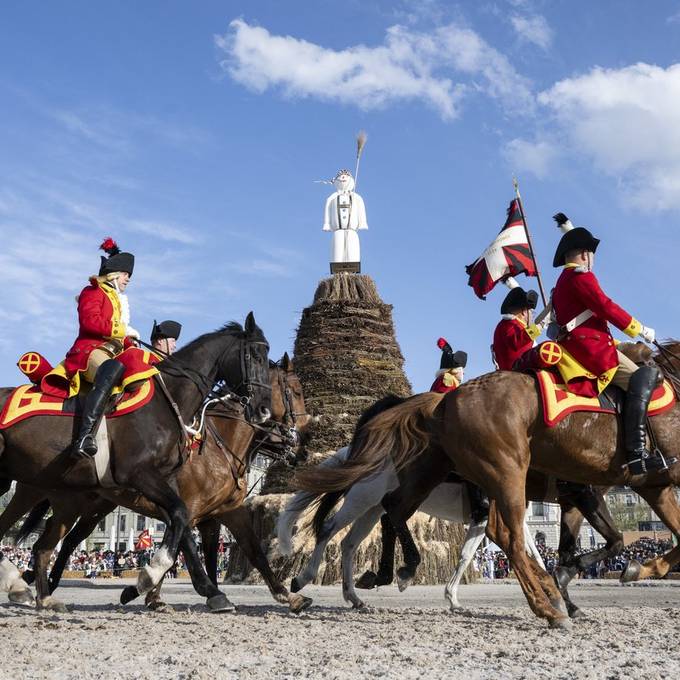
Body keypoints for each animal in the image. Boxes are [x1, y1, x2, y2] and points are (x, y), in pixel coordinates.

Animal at [0, 314, 270, 612]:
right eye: (256, 356)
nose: (264, 410)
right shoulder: (143, 477)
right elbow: (181, 522)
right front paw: (151, 579)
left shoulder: (172, 488)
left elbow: (182, 525)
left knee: (43, 544)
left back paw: (36, 592)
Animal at [298, 340, 680, 628]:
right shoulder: (580, 494)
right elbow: (589, 544)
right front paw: (562, 591)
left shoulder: (579, 498)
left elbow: (547, 550)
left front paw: (563, 589)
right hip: (375, 495)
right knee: (336, 529)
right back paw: (308, 579)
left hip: (410, 488)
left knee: (381, 522)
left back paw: (373, 582)